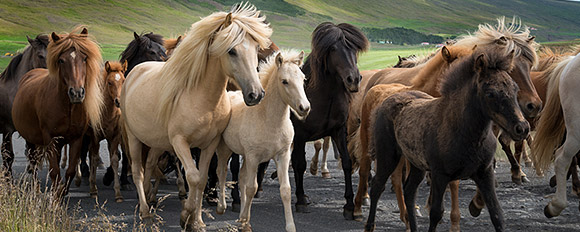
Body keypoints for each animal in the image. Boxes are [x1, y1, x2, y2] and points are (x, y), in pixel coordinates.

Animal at [11, 27, 103, 196]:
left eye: (84, 58)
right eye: (61, 60)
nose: (77, 93)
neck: (67, 108)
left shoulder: (76, 140)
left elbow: (70, 171)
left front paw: (63, 192)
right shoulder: (50, 140)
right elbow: (54, 172)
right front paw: (56, 195)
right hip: (31, 139)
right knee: (33, 163)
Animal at [119, 3, 272, 228]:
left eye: (255, 50)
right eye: (232, 51)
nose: (256, 94)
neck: (202, 99)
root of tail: (135, 71)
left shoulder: (209, 145)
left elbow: (201, 180)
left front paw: (197, 221)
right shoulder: (180, 143)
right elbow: (192, 177)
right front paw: (185, 216)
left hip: (156, 142)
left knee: (150, 166)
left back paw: (147, 199)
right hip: (133, 138)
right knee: (138, 170)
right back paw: (145, 212)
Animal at [215, 49, 308, 231]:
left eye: (303, 79)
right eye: (284, 81)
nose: (304, 108)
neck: (269, 121)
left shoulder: (283, 155)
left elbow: (285, 190)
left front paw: (290, 226)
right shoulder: (253, 157)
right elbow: (252, 188)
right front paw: (245, 222)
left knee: (241, 177)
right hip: (225, 149)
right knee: (221, 171)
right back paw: (222, 207)